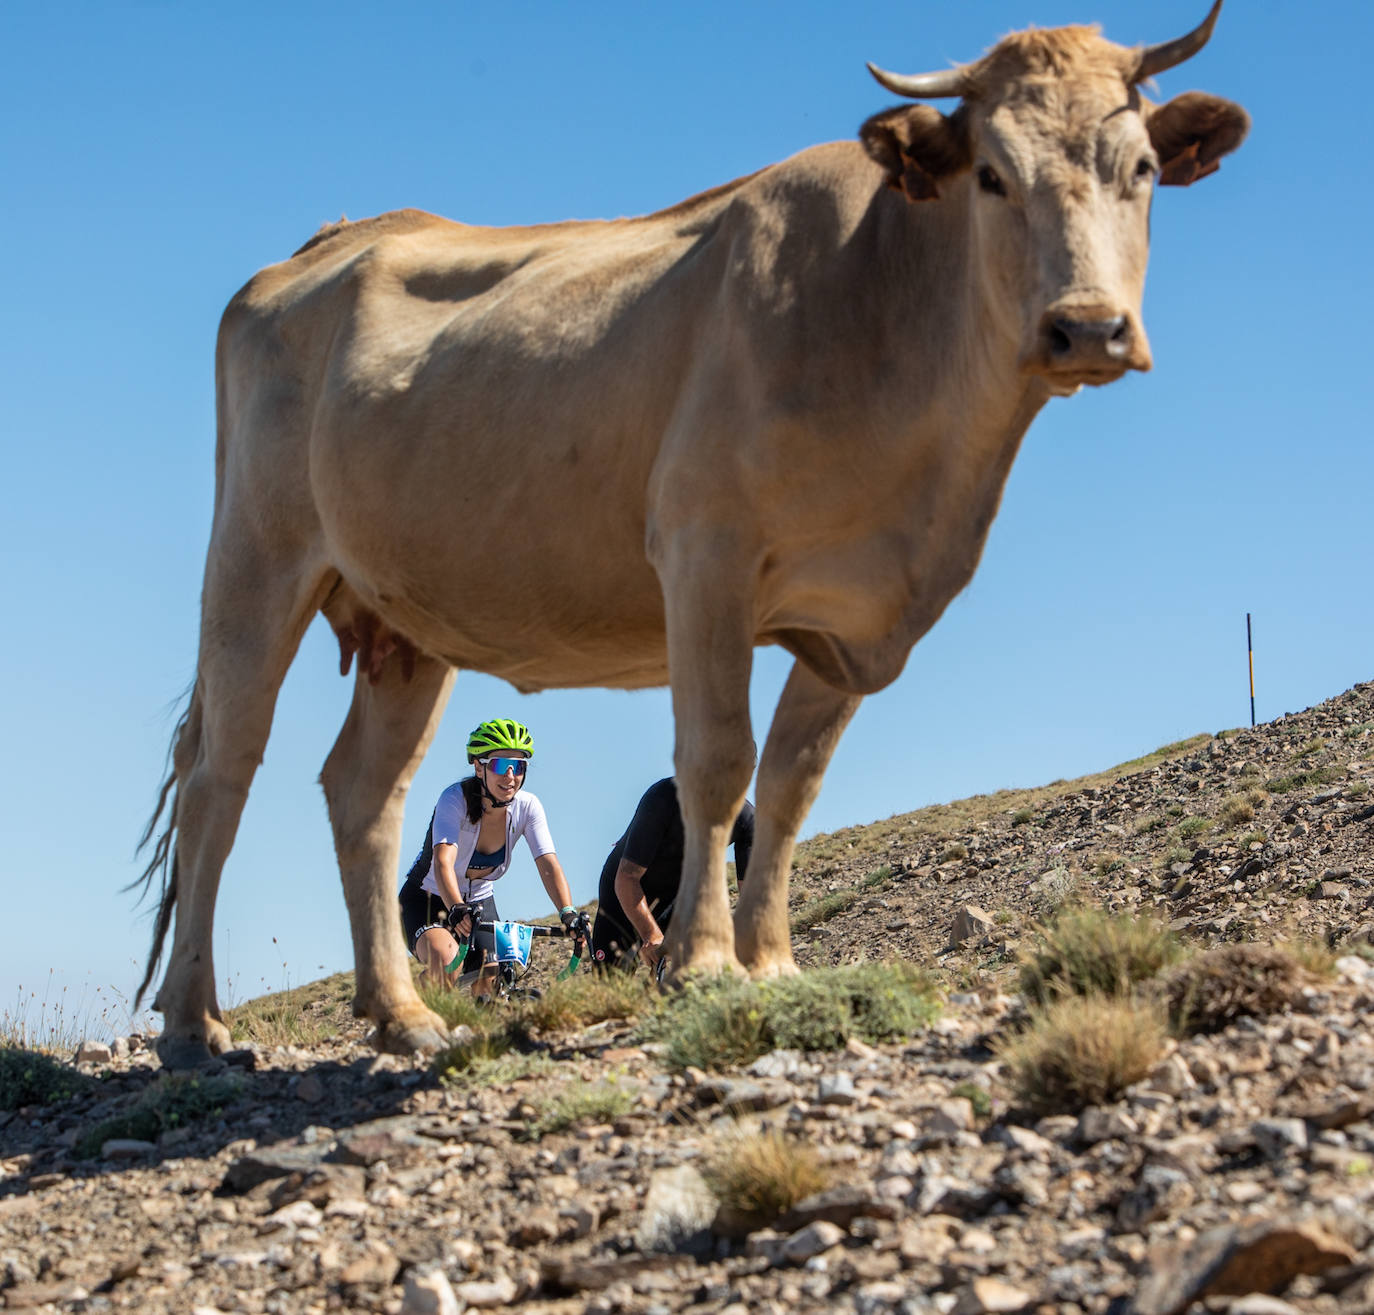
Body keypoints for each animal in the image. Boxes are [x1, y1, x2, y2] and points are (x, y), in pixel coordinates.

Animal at [136, 5, 1247, 1060]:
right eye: (991, 175)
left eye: (1142, 169)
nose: (1087, 326)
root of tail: (326, 243)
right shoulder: (704, 555)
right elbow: (718, 757)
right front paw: (704, 962)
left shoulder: (855, 615)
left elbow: (791, 784)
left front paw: (774, 961)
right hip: (256, 561)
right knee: (220, 773)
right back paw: (195, 1023)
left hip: (401, 618)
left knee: (364, 792)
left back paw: (400, 1013)